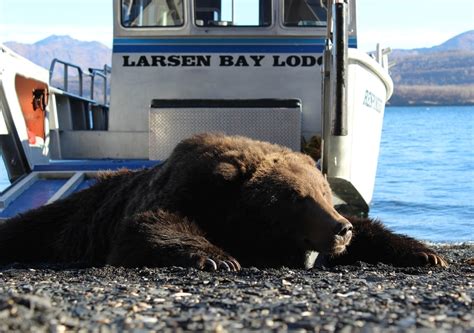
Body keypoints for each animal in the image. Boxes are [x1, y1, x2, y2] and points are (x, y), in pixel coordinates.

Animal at [0, 132, 446, 270]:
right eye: (297, 198)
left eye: (325, 194)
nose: (341, 228)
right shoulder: (185, 191)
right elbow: (147, 227)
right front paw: (217, 257)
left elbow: (376, 230)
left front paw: (425, 252)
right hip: (71, 217)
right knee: (28, 226)